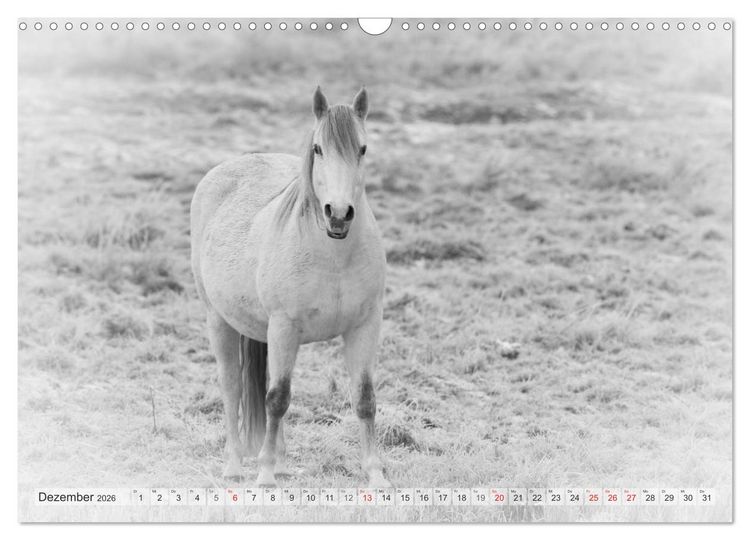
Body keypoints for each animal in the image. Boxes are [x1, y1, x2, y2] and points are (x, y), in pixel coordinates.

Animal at [190, 87, 389, 487]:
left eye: (362, 149)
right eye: (318, 149)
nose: (338, 214)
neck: (334, 256)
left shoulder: (365, 326)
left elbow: (364, 399)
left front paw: (376, 476)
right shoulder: (284, 326)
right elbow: (277, 398)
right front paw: (264, 475)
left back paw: (281, 462)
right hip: (219, 321)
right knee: (232, 387)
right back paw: (235, 466)